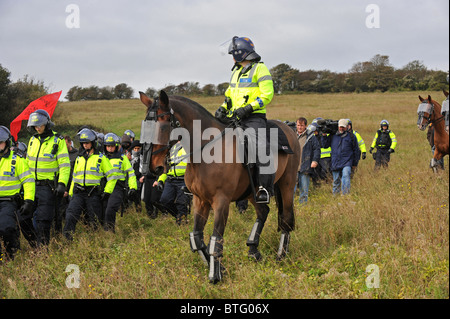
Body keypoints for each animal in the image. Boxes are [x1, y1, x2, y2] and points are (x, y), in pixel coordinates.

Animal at [137, 90, 298, 284]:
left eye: (162, 126)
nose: (150, 168)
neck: (207, 151)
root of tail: (288, 128)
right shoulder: (200, 201)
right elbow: (196, 239)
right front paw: (221, 268)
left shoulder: (221, 202)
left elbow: (216, 240)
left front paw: (215, 276)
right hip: (253, 192)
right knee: (263, 212)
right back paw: (253, 250)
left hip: (287, 184)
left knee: (286, 219)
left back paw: (281, 256)